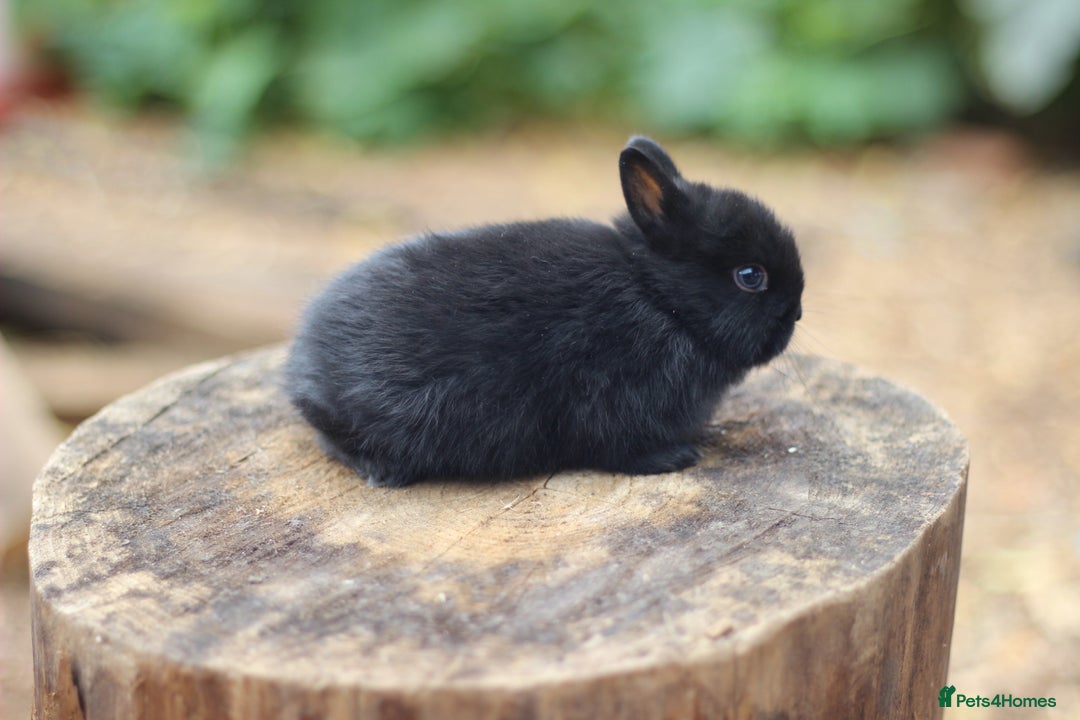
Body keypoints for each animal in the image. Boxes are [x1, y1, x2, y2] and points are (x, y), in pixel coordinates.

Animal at [285, 136, 804, 487]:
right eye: (750, 276)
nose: (796, 314)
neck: (658, 299)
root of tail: (302, 369)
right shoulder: (611, 397)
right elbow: (620, 448)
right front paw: (675, 459)